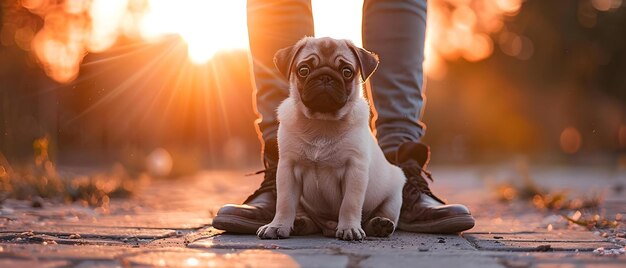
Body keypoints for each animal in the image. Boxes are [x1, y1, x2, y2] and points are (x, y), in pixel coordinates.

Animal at [255, 36, 404, 240]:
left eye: (347, 72)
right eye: (303, 70)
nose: (325, 77)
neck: (321, 122)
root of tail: (328, 227)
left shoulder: (354, 169)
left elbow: (350, 203)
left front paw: (349, 228)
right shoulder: (287, 169)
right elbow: (284, 203)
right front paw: (277, 226)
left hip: (394, 195)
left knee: (383, 214)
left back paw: (379, 225)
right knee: (305, 216)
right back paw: (300, 223)